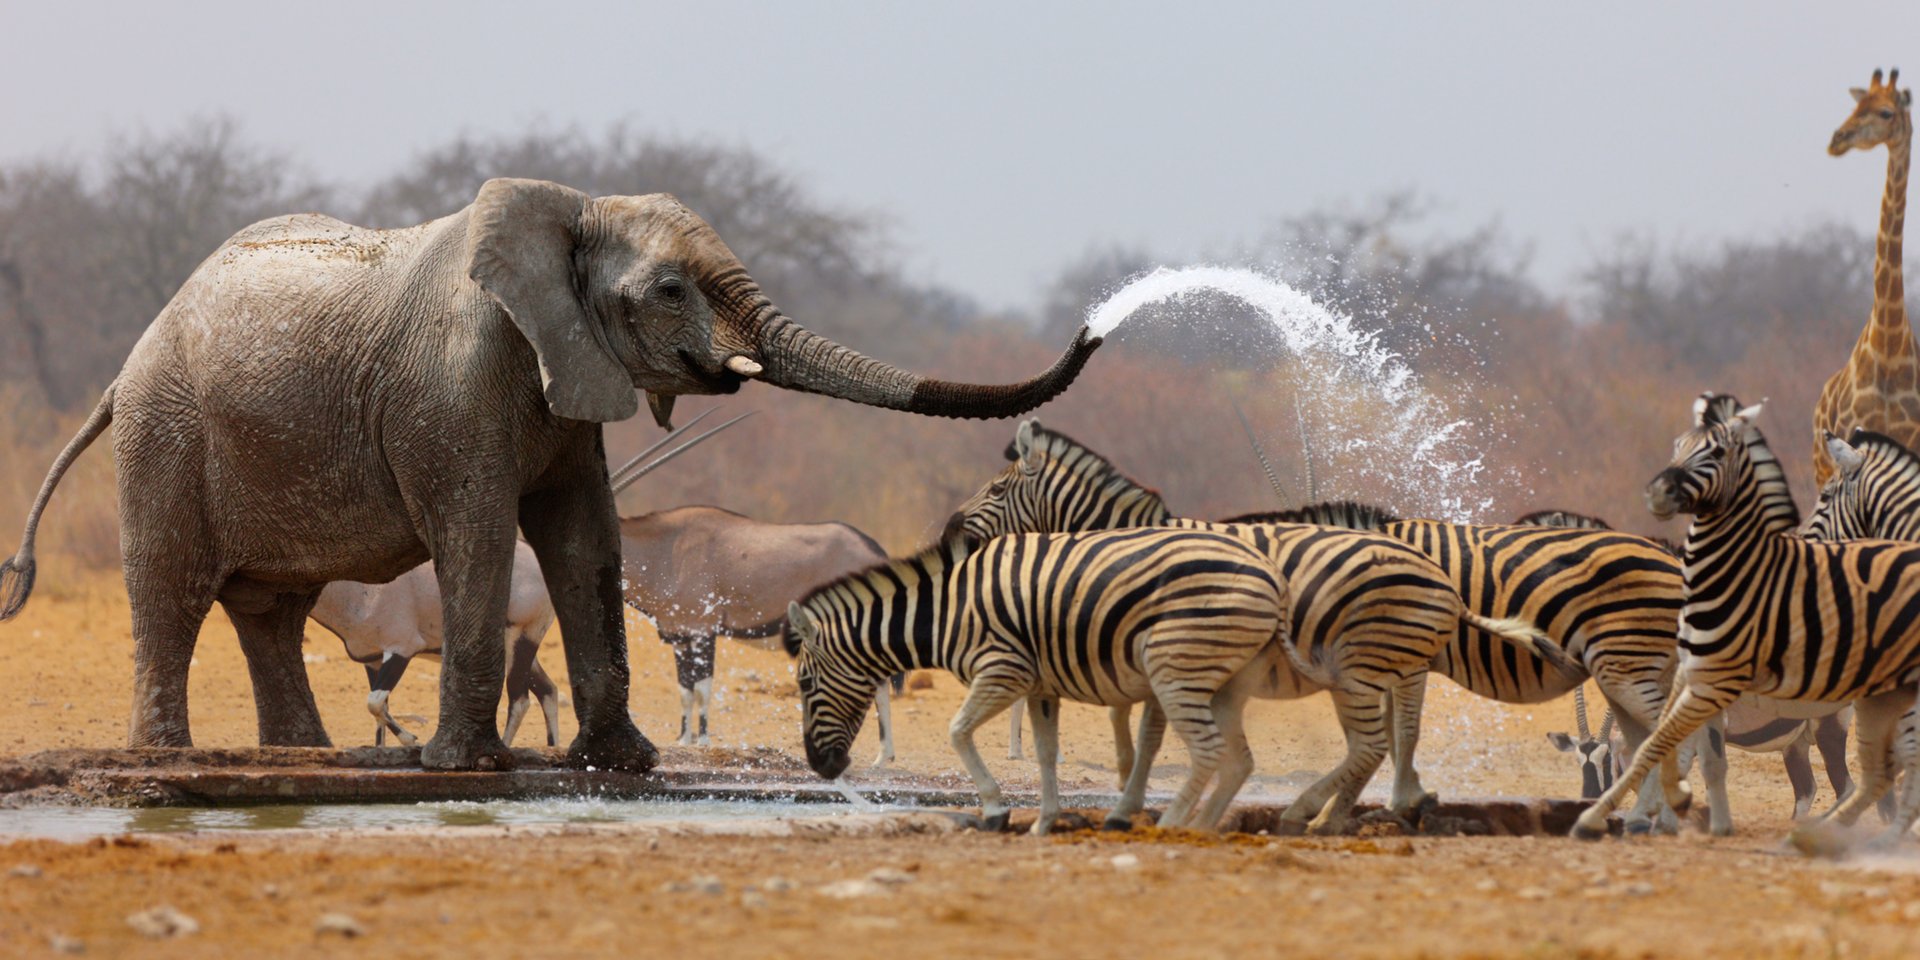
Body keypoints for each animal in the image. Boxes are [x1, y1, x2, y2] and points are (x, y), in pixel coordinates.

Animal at [0, 176, 1098, 768]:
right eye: (670, 289)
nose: (1095, 325)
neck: (570, 212)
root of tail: (125, 367)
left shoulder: (569, 377)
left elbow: (584, 539)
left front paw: (623, 765)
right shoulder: (455, 383)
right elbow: (481, 534)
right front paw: (464, 768)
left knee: (271, 609)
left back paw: (302, 760)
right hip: (167, 434)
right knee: (174, 590)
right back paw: (169, 760)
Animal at [779, 526, 1290, 833]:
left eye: (805, 685)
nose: (822, 768)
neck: (946, 611)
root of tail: (1271, 574)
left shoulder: (1004, 669)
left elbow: (957, 731)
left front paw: (995, 810)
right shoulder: (1042, 685)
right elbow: (1044, 753)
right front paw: (1045, 822)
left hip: (1175, 667)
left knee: (1208, 750)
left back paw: (1171, 826)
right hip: (1219, 679)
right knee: (1235, 759)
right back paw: (1195, 824)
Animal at [948, 420, 1574, 833]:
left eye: (998, 489)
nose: (951, 529)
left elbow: (1147, 736)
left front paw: (1130, 808)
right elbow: (1134, 732)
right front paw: (1130, 798)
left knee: (1395, 731)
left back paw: (1354, 808)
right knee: (1392, 733)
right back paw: (1372, 807)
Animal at [1574, 395, 1920, 840]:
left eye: (1609, 758)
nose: (1587, 797)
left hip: (1830, 726)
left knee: (1851, 784)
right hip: (1801, 740)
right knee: (1819, 788)